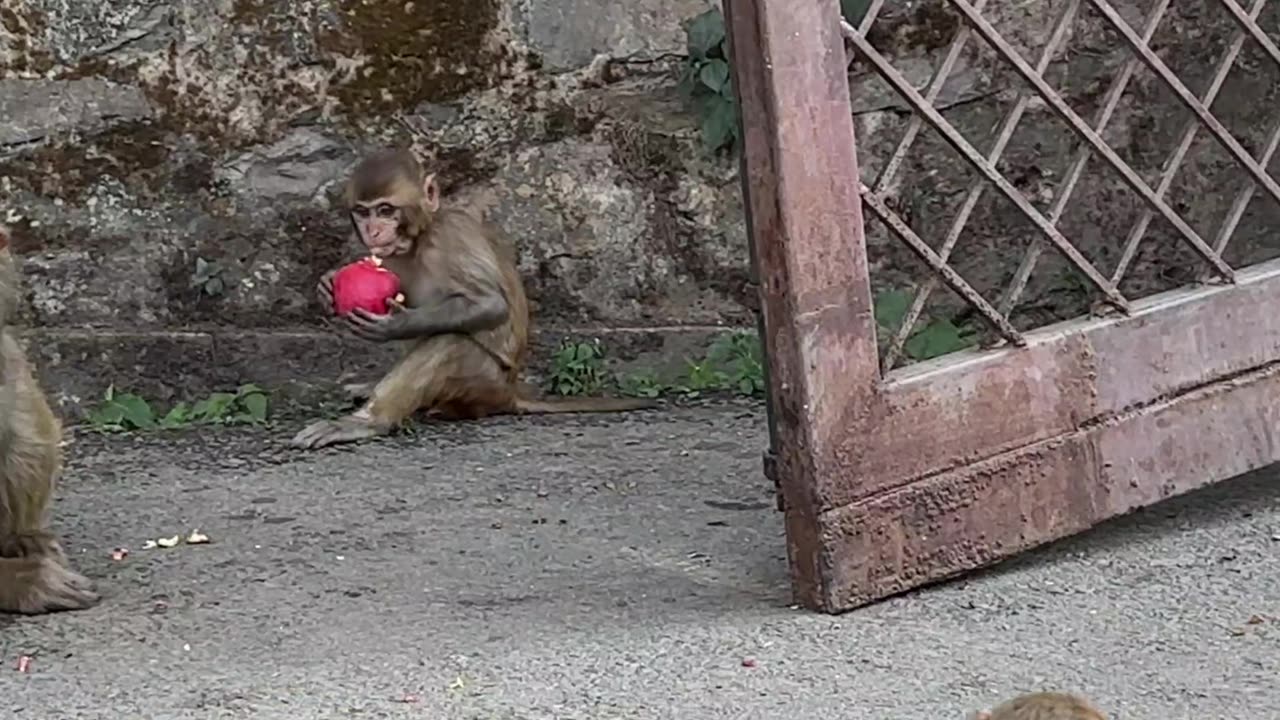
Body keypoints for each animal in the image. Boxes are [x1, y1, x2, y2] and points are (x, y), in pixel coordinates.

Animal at [293, 147, 655, 445]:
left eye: (385, 210)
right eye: (363, 212)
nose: (374, 230)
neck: (419, 239)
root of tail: (511, 393)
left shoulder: (451, 239)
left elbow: (490, 305)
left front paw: (396, 325)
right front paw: (327, 286)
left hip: (483, 385)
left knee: (451, 342)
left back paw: (370, 421)